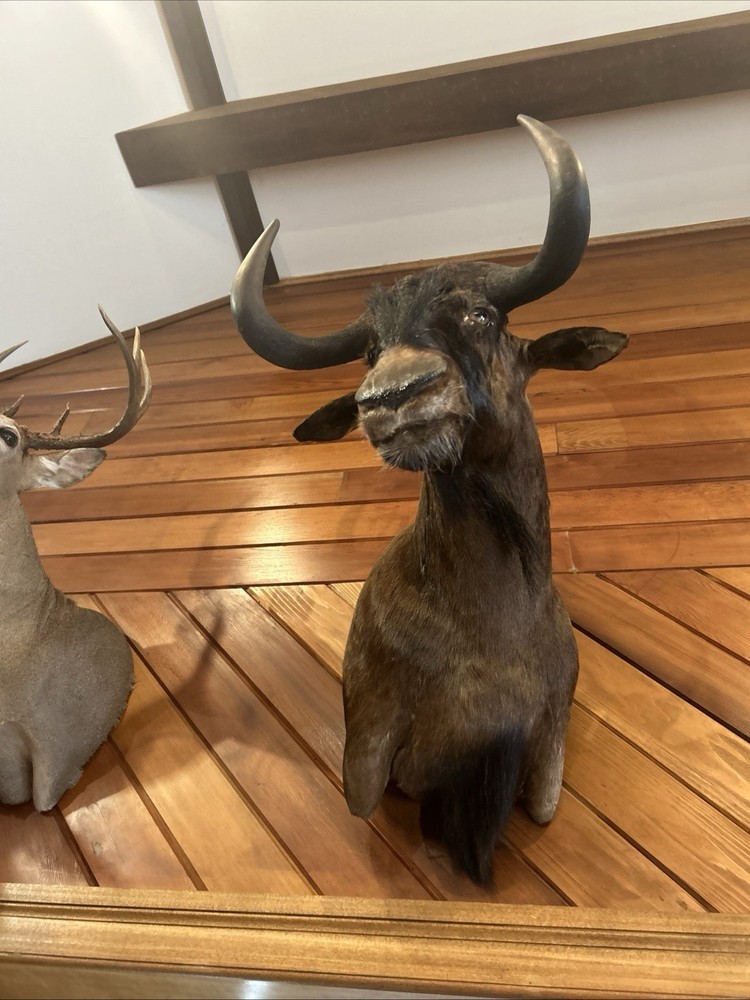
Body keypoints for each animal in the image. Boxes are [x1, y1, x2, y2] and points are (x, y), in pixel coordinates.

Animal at [230, 116, 628, 884]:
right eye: (368, 350)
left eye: (480, 315)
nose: (391, 397)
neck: (487, 634)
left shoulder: (545, 754)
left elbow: (542, 803)